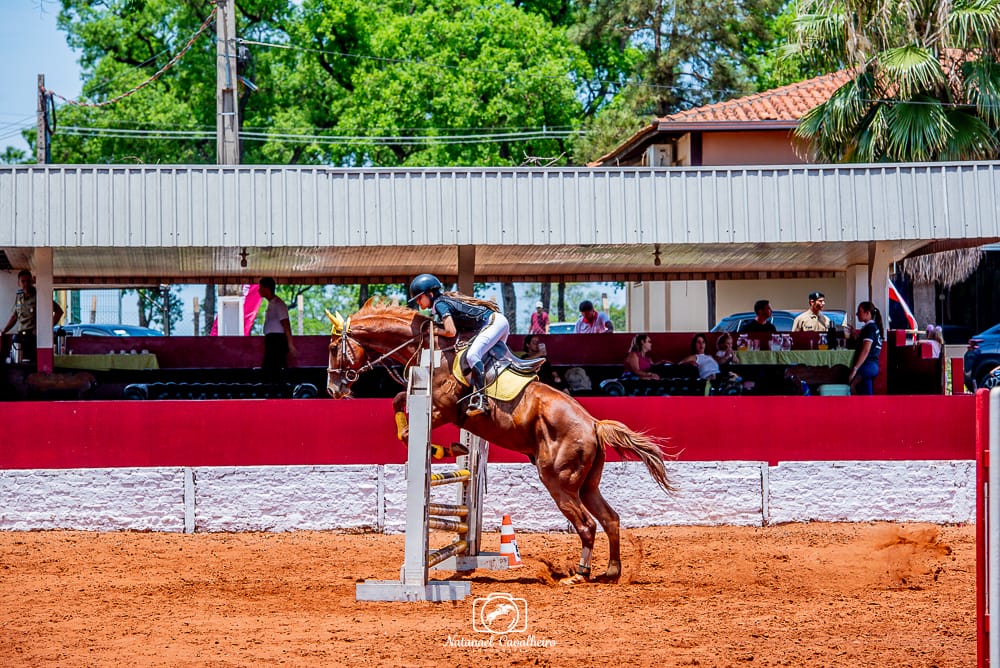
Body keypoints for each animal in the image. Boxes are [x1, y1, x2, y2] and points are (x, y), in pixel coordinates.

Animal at [324, 302, 676, 584]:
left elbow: (408, 426)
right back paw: (612, 572)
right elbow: (398, 401)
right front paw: (457, 448)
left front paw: (448, 449)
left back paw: (579, 574)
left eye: (332, 347)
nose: (332, 389)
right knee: (610, 519)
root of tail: (593, 424)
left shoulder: (440, 408)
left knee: (588, 525)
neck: (430, 349)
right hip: (587, 484)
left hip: (558, 480)